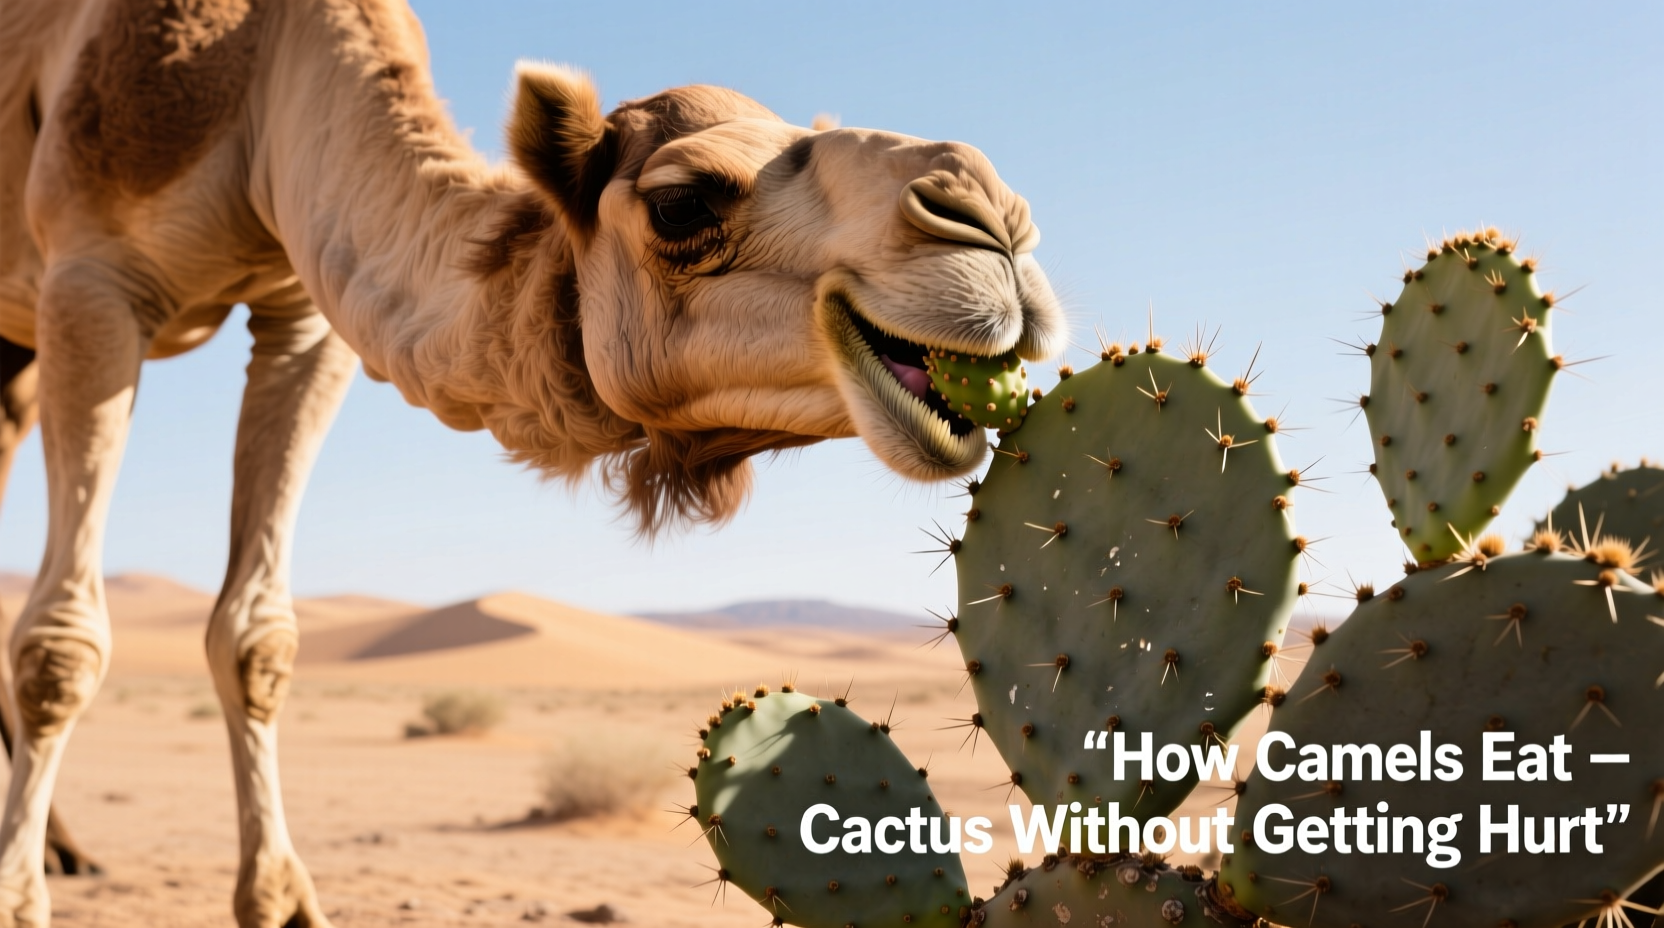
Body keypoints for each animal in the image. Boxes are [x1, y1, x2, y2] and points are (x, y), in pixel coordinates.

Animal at [0, 0, 1063, 924]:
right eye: (682, 204)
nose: (991, 223)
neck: (262, 77)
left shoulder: (300, 314)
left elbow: (258, 638)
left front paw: (282, 905)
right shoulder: (91, 277)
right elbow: (62, 645)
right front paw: (18, 903)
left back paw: (67, 846)